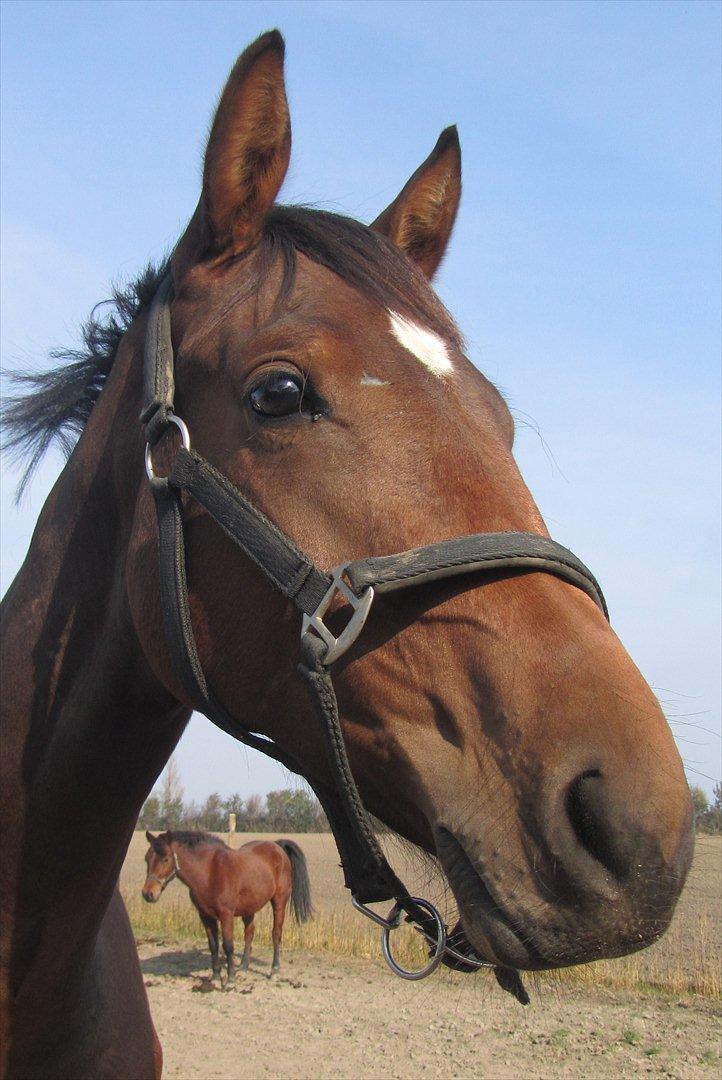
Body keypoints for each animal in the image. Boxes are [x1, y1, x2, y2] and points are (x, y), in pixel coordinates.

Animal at [140, 833, 310, 989]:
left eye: (165, 859)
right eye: (147, 858)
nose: (148, 894)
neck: (209, 872)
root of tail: (276, 846)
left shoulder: (226, 915)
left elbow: (228, 946)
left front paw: (230, 980)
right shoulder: (205, 916)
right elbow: (213, 946)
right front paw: (215, 977)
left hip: (279, 901)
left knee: (276, 933)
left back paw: (274, 970)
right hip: (249, 908)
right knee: (249, 933)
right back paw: (243, 966)